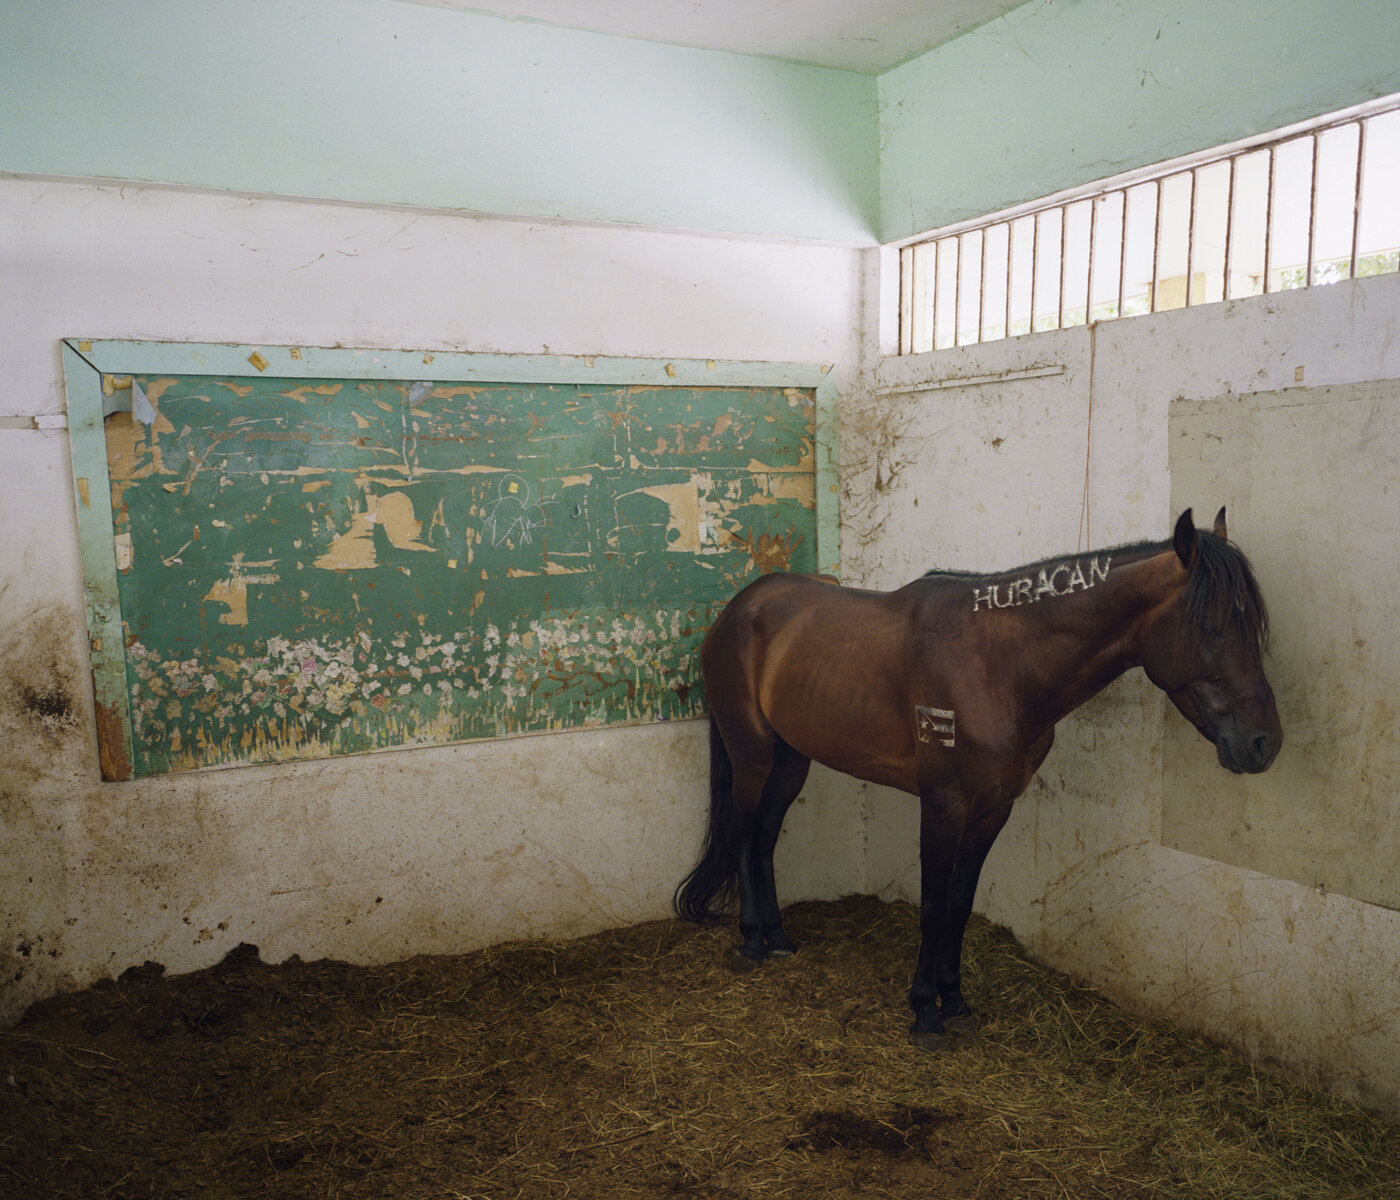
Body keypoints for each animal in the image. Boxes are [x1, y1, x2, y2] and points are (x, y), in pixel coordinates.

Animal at [674, 509, 1282, 1041]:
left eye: (1253, 625)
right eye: (1212, 627)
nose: (1264, 743)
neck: (998, 665)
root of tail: (738, 608)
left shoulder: (994, 806)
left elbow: (961, 903)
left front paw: (957, 1002)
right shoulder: (943, 803)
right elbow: (933, 903)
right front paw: (925, 1013)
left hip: (791, 759)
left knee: (764, 838)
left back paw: (777, 937)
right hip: (752, 754)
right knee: (743, 832)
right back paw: (751, 943)